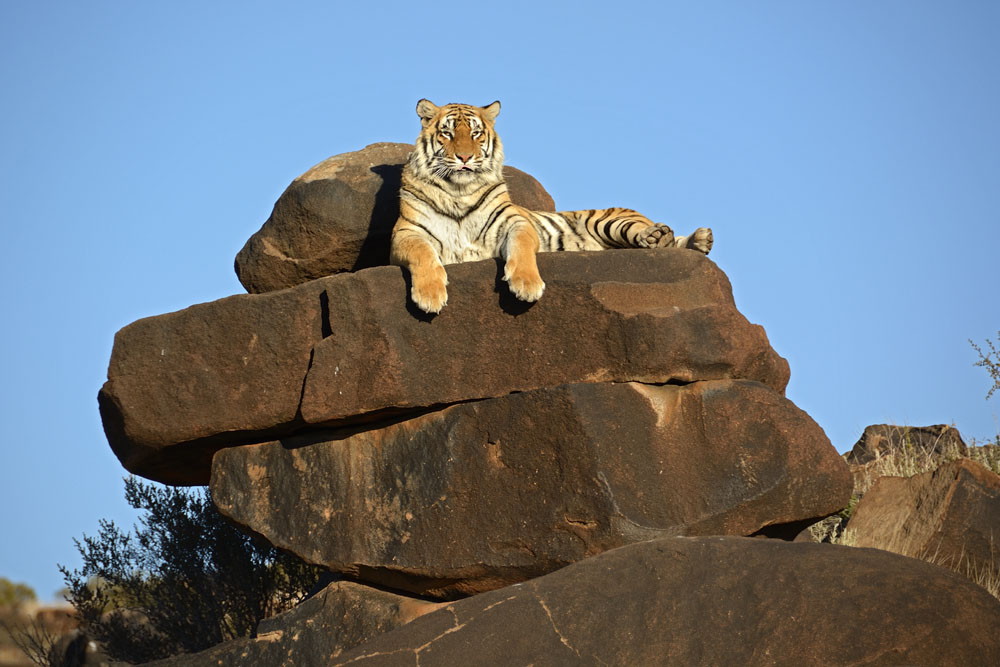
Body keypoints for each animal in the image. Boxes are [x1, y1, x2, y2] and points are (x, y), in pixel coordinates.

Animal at [390, 99, 713, 314]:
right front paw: (430, 295)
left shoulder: (515, 222)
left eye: (475, 133)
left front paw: (526, 285)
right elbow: (423, 254)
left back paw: (684, 237)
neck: (459, 191)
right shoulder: (406, 234)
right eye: (446, 133)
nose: (465, 158)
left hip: (609, 221)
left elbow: (521, 247)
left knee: (657, 237)